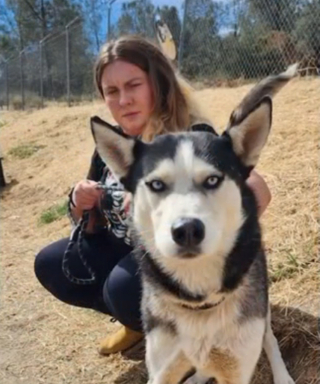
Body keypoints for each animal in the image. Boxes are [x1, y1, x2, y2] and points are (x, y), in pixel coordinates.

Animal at [90, 66, 298, 384]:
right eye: (156, 184)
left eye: (212, 179)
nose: (186, 230)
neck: (201, 301)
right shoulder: (162, 368)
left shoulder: (237, 367)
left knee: (268, 337)